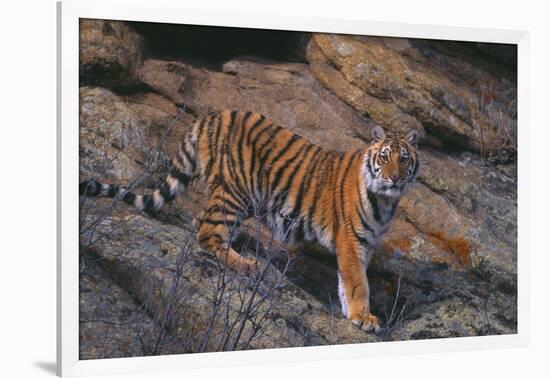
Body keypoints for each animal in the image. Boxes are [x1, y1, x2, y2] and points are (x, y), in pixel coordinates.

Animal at [80, 110, 420, 334]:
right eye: (385, 156)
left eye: (404, 159)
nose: (394, 177)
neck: (386, 200)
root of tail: (212, 115)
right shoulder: (351, 239)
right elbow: (358, 282)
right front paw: (364, 317)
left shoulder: (362, 243)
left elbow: (345, 282)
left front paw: (351, 313)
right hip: (235, 191)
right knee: (209, 233)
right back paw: (245, 264)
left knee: (202, 221)